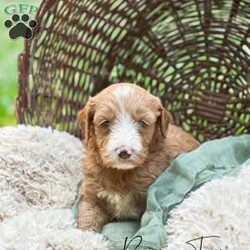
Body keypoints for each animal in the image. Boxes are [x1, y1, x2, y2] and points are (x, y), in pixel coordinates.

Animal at [76, 83, 199, 231]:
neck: (121, 173)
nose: (124, 151)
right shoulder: (91, 196)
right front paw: (84, 235)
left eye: (142, 123)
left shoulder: (150, 199)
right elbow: (87, 219)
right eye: (105, 122)